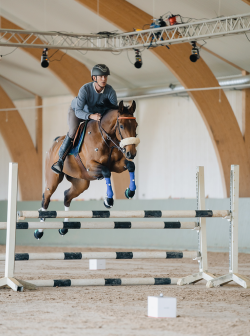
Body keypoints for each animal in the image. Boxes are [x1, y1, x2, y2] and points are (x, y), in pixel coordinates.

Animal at [33, 100, 139, 239]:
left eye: (136, 125)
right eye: (121, 126)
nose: (131, 153)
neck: (105, 138)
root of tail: (53, 145)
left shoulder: (116, 165)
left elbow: (131, 166)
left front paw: (129, 192)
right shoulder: (91, 167)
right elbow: (106, 172)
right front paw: (108, 200)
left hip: (81, 182)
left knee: (67, 196)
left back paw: (64, 228)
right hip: (53, 179)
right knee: (46, 197)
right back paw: (39, 231)